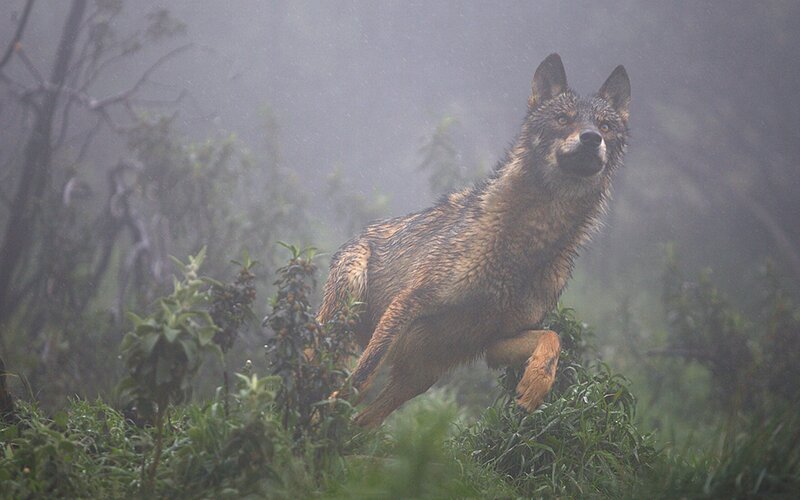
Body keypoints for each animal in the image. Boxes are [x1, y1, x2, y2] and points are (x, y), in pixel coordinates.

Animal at [318, 54, 630, 427]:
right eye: (562, 119)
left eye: (606, 126)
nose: (591, 138)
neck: (527, 243)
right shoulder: (407, 302)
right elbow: (361, 377)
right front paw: (325, 406)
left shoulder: (495, 340)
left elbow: (552, 338)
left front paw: (535, 386)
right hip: (347, 314)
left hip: (420, 378)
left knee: (363, 423)